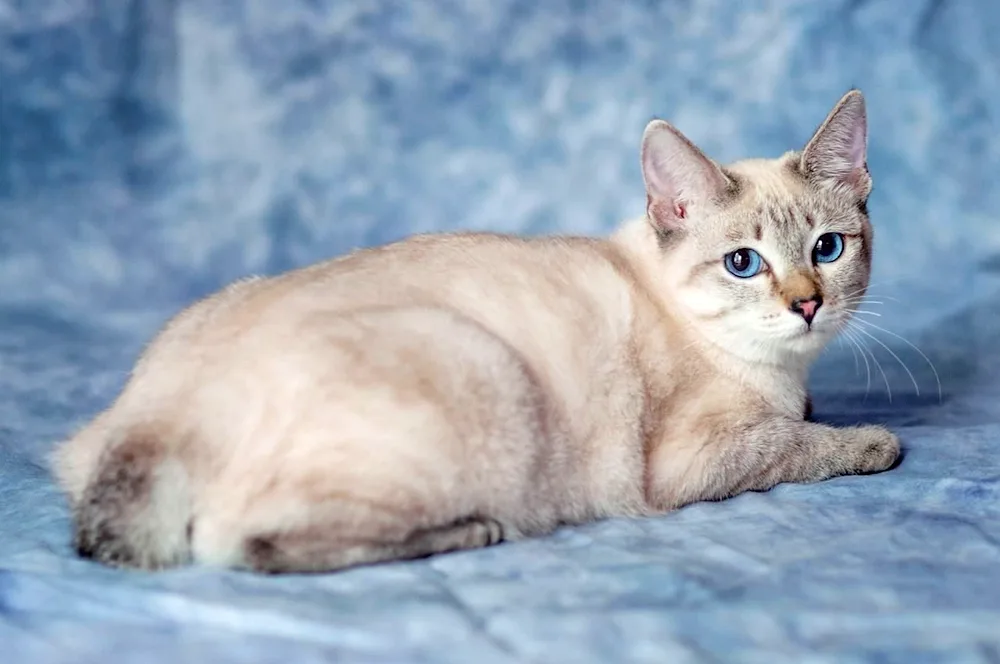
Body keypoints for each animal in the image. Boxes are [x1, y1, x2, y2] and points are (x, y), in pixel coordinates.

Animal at [52, 91, 900, 572]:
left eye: (827, 249)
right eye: (743, 264)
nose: (807, 305)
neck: (782, 371)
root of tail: (158, 412)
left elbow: (800, 420)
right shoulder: (691, 461)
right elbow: (796, 443)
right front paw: (871, 442)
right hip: (487, 371)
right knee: (246, 547)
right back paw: (476, 532)